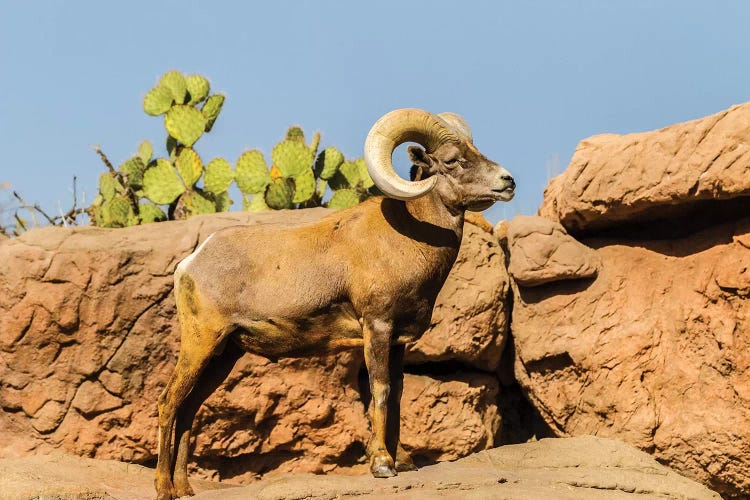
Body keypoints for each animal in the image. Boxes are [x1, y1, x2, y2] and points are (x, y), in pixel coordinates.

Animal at [154, 107, 516, 498]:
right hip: (201, 342)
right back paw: (163, 488)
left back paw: (184, 488)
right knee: (169, 403)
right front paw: (382, 466)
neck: (409, 239)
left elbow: (398, 396)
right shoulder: (377, 327)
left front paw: (403, 462)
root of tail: (190, 264)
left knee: (189, 409)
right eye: (453, 160)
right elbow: (380, 391)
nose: (508, 181)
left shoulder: (398, 341)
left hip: (224, 354)